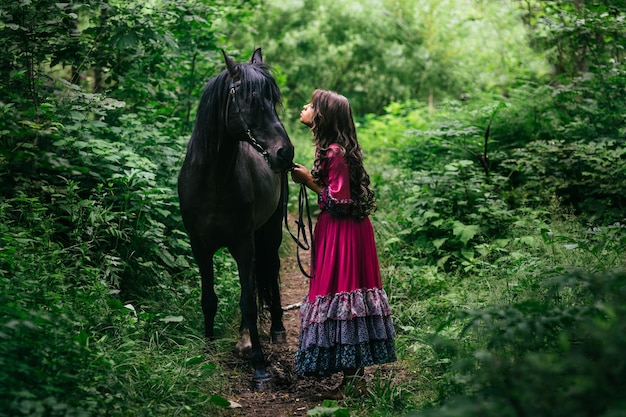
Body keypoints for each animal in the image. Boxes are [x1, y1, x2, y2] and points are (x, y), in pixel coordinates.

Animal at [176, 48, 292, 390]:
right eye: (251, 100)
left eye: (273, 100)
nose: (286, 153)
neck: (213, 180)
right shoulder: (200, 247)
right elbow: (209, 299)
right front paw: (208, 350)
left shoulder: (243, 243)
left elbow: (249, 303)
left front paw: (260, 367)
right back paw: (243, 341)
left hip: (269, 233)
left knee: (269, 271)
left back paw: (275, 330)